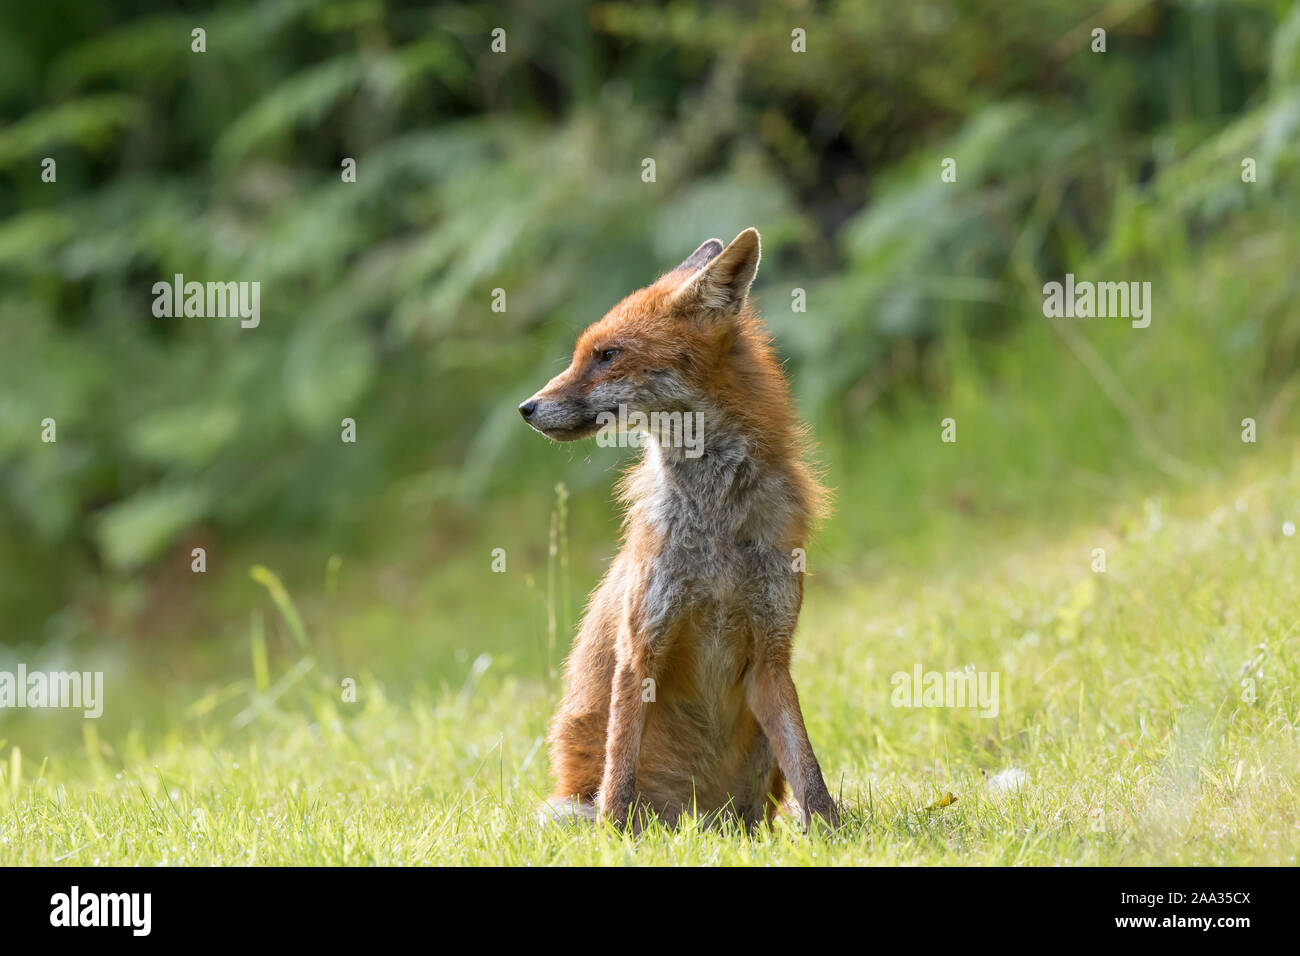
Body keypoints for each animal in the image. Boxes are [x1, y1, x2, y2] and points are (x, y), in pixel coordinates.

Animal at [519, 228, 839, 831]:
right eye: (582, 354)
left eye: (608, 355)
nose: (526, 407)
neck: (714, 525)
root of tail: (706, 820)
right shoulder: (642, 644)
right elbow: (619, 774)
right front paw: (614, 841)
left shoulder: (771, 654)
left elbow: (810, 775)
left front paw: (837, 837)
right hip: (573, 803)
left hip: (750, 800)